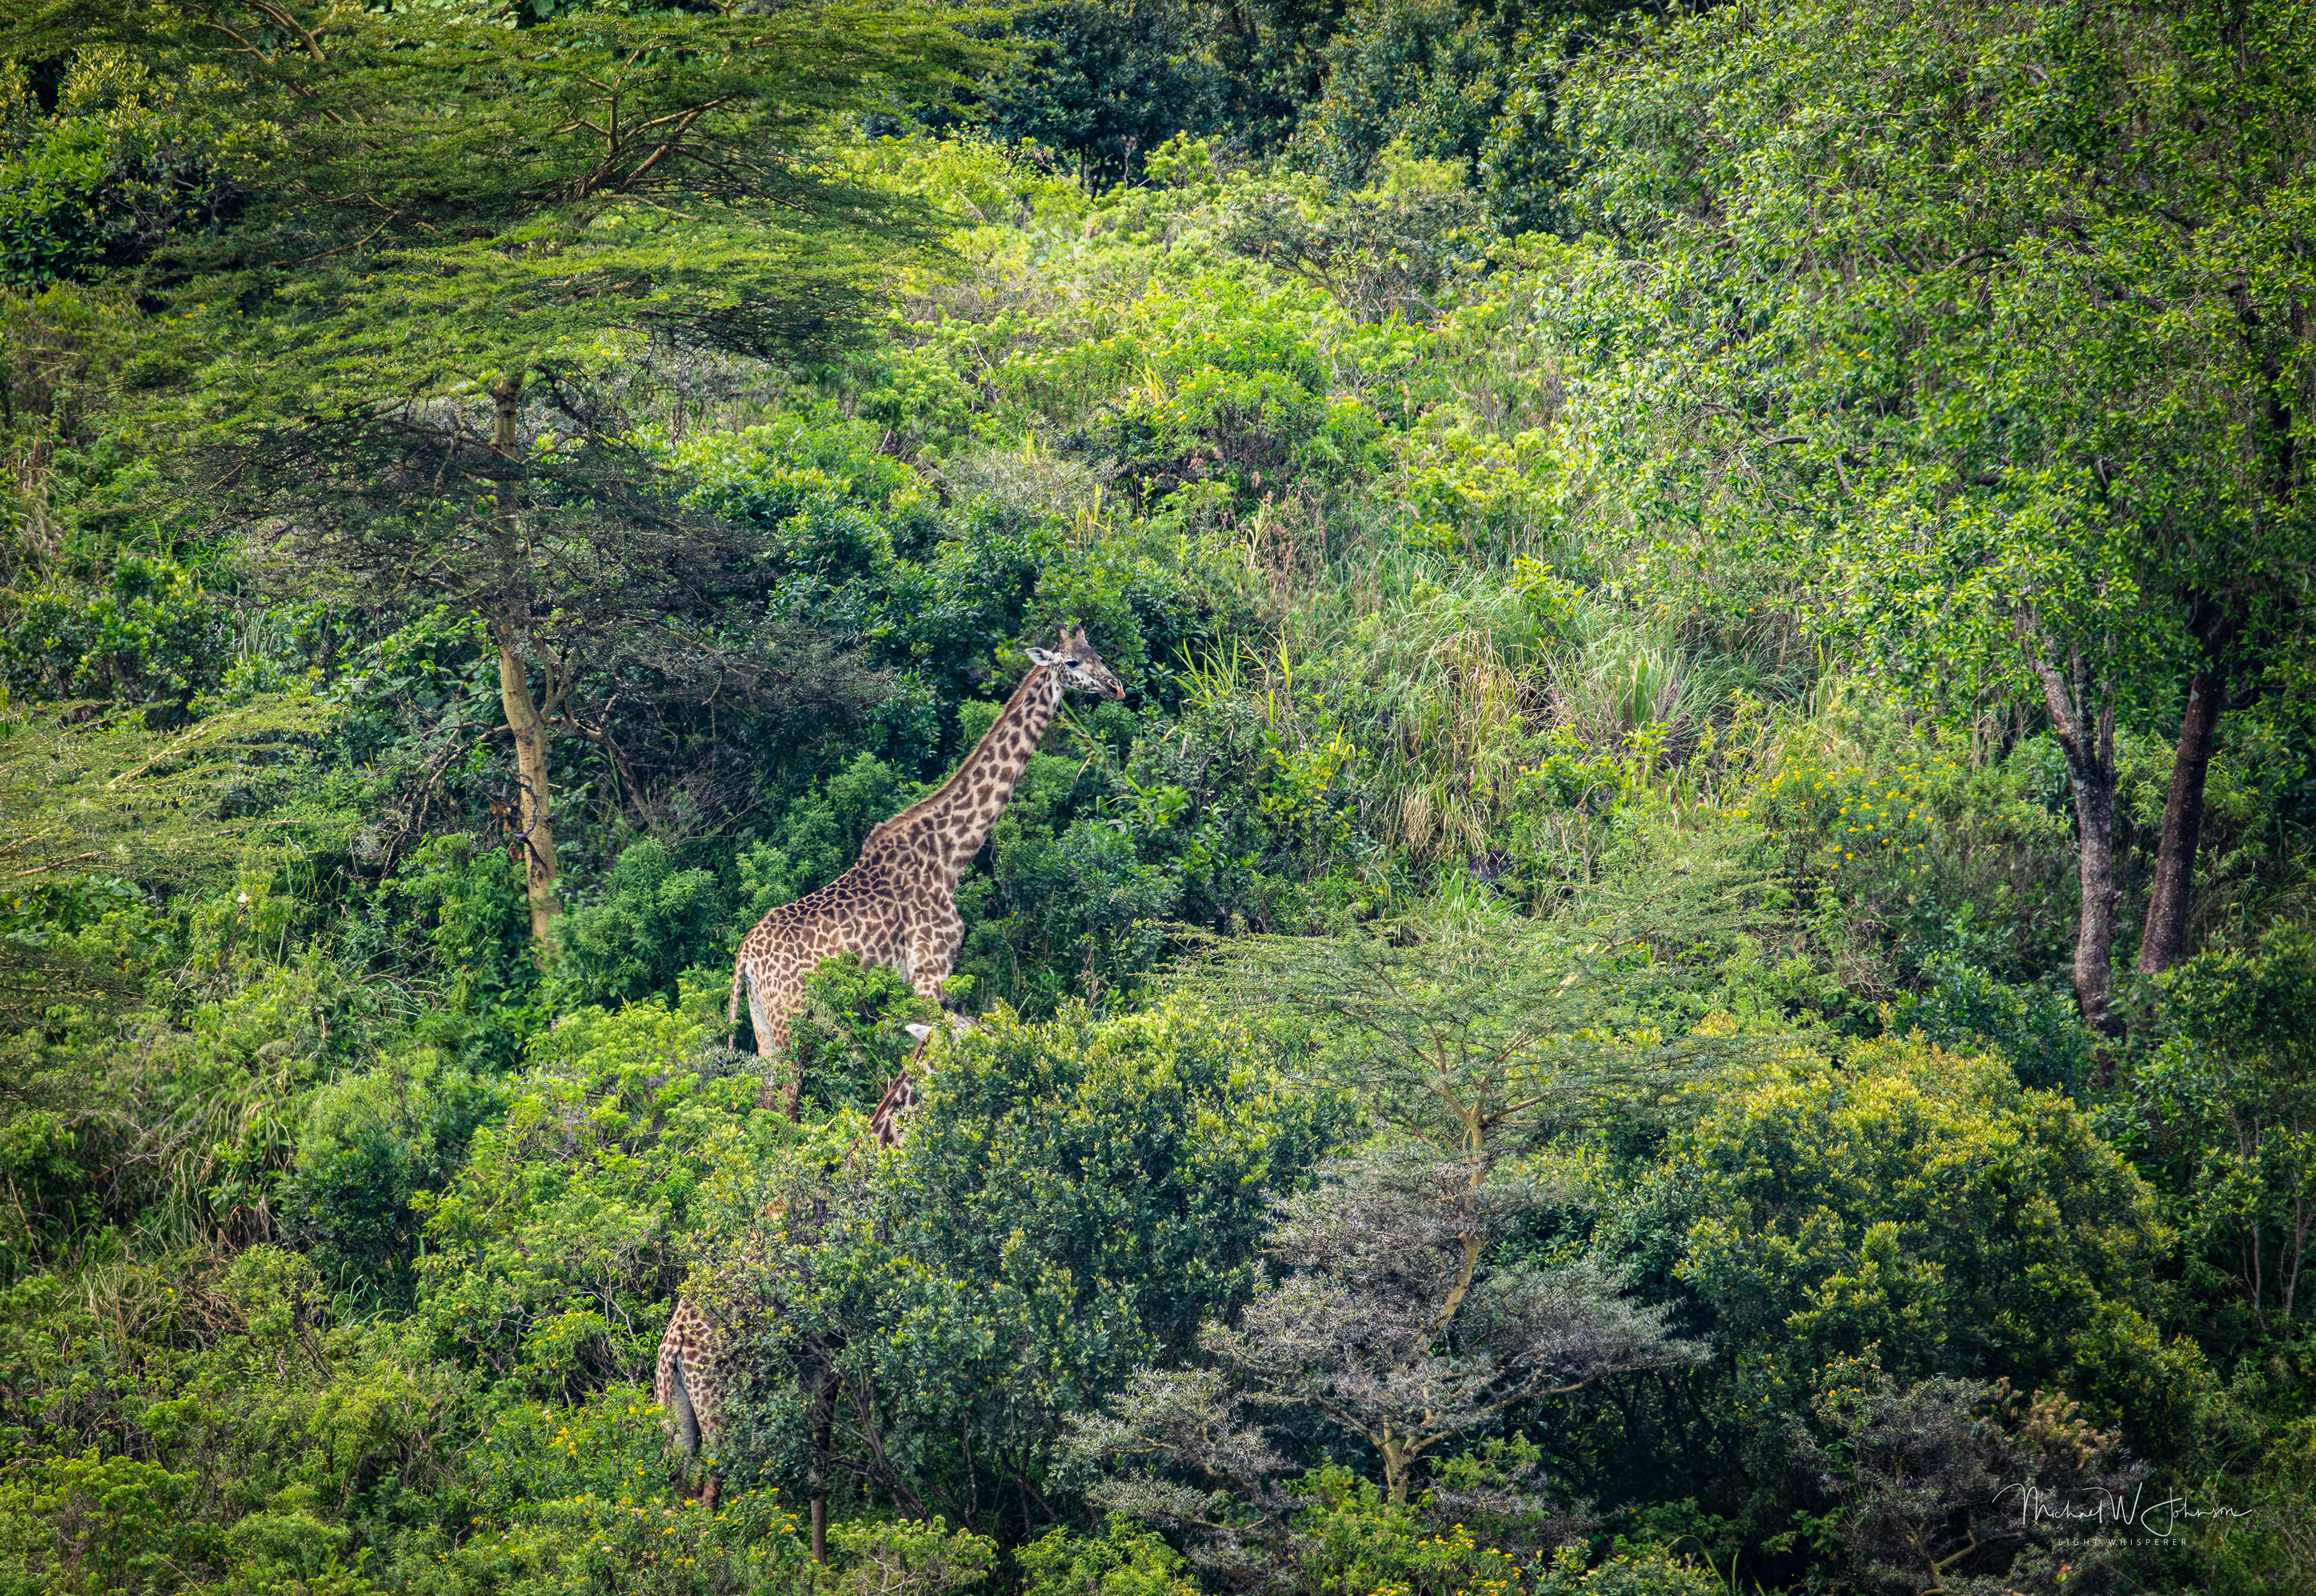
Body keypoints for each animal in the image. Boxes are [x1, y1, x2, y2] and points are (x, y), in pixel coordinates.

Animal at [726, 624, 1125, 1117]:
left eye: (1098, 653)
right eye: (1071, 663)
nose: (1116, 687)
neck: (951, 854)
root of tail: (745, 956)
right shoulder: (929, 972)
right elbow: (918, 1055)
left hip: (763, 1021)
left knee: (766, 1099)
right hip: (792, 1018)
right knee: (786, 1101)